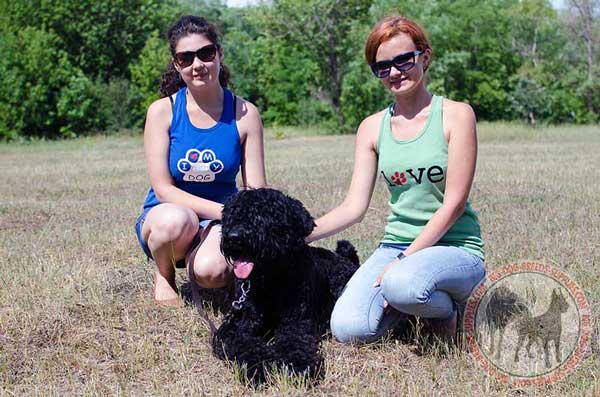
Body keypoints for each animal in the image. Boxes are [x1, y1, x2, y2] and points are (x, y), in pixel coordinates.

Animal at [212, 187, 358, 382]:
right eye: (231, 214)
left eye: (265, 214)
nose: (233, 237)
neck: (272, 283)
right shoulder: (237, 324)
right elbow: (244, 344)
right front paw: (258, 366)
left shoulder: (295, 322)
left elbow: (294, 342)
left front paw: (297, 365)